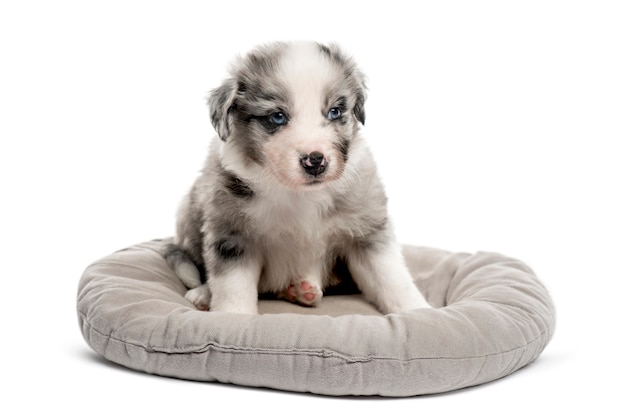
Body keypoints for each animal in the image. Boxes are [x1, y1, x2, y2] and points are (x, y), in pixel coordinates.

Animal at [163, 43, 432, 316]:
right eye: (278, 117)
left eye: (334, 112)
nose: (315, 161)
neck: (300, 194)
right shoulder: (232, 236)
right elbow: (232, 287)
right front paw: (232, 316)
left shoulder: (367, 231)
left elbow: (392, 278)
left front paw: (419, 313)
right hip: (188, 210)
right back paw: (204, 293)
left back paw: (301, 291)